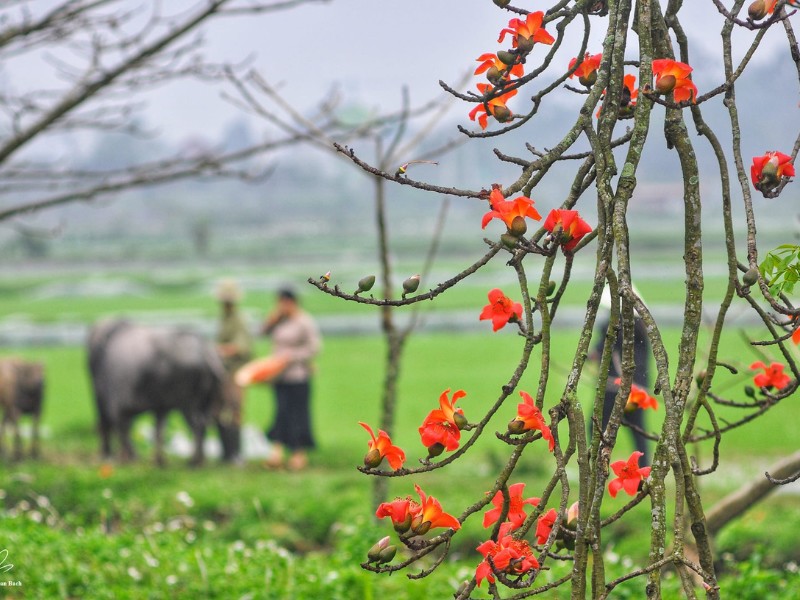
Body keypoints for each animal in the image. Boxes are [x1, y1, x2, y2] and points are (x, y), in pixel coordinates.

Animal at [88, 322, 239, 466]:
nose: (104, 454)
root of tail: (206, 351)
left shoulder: (116, 403)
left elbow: (123, 429)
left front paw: (131, 458)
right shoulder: (160, 406)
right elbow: (158, 430)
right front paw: (157, 460)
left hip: (187, 403)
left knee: (197, 425)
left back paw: (194, 462)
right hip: (206, 399)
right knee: (206, 423)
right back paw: (197, 460)